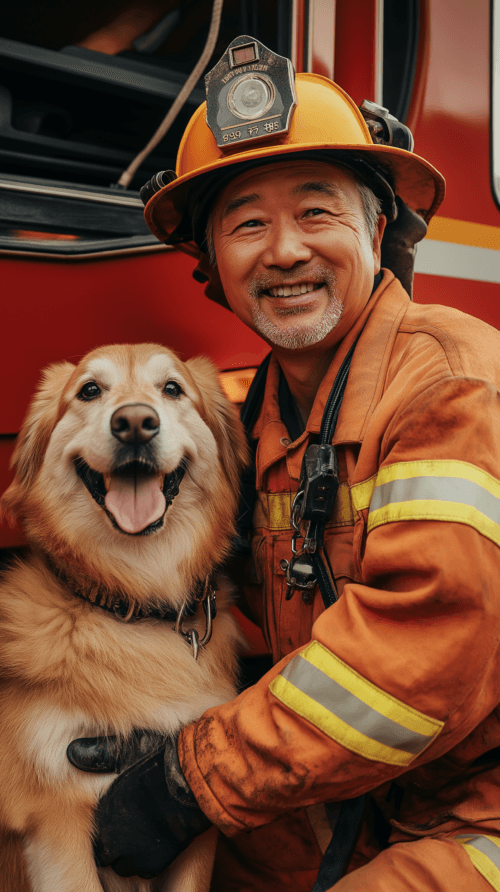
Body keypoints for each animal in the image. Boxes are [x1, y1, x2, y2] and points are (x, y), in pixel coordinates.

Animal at [0, 344, 248, 892]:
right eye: (90, 390)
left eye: (172, 389)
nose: (135, 423)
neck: (129, 604)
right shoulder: (57, 819)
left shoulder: (190, 831)